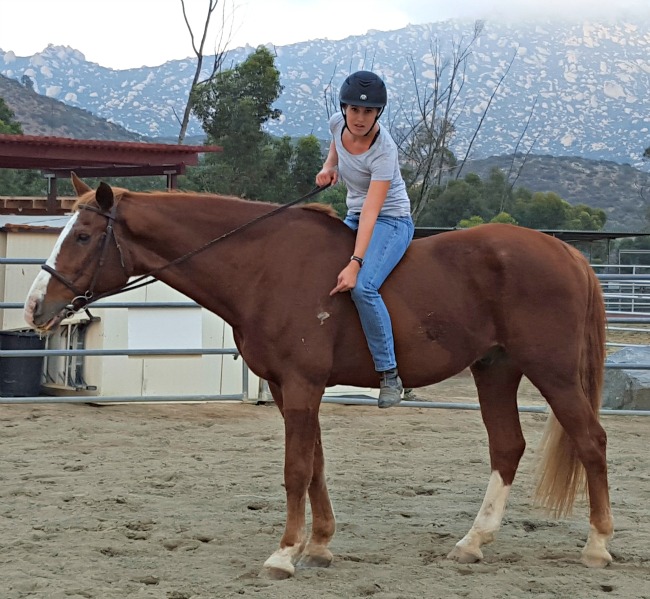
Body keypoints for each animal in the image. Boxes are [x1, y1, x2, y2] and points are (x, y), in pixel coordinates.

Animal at [25, 176, 612, 580]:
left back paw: (598, 545)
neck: (265, 265)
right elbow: (315, 467)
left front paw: (284, 553)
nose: (34, 307)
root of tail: (567, 252)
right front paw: (321, 545)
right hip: (495, 369)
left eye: (82, 236)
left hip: (553, 373)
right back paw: (473, 542)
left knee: (591, 441)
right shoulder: (290, 388)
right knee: (507, 447)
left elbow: (295, 470)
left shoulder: (303, 384)